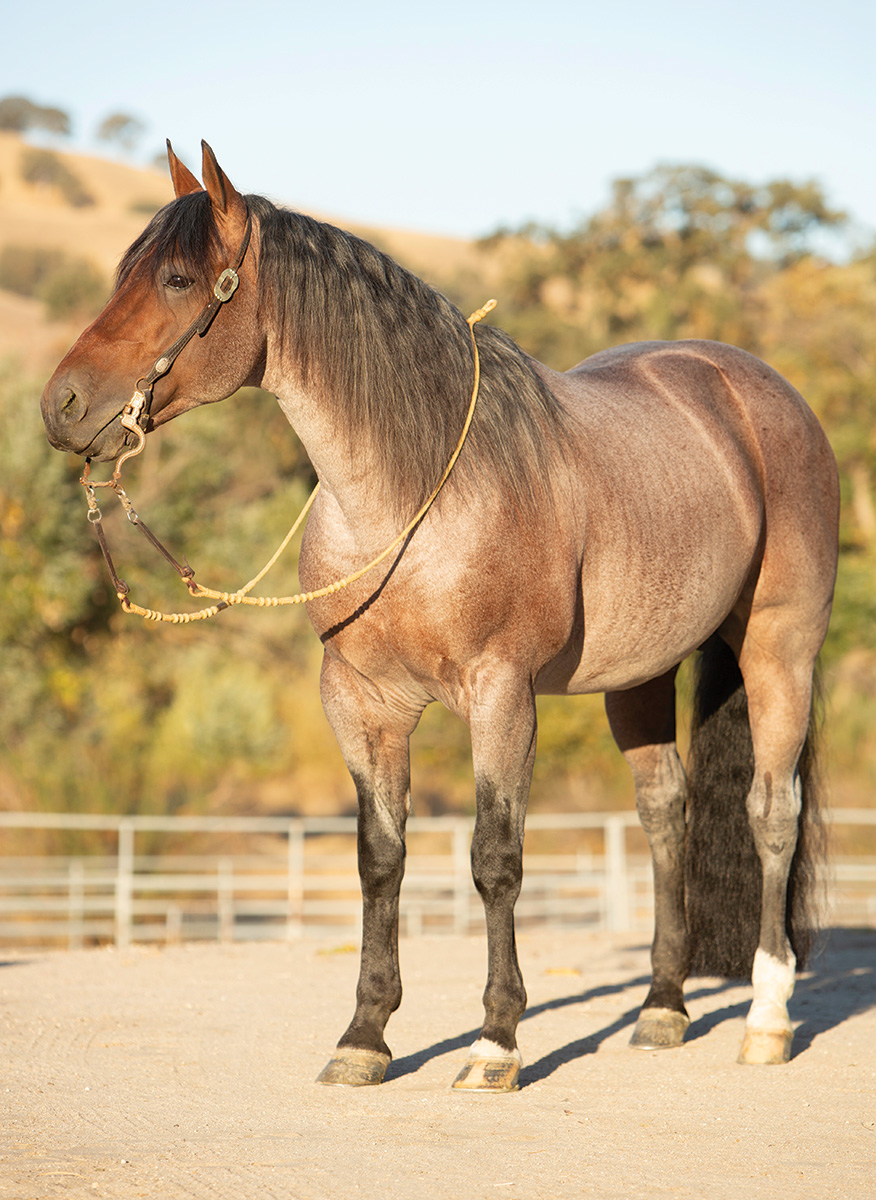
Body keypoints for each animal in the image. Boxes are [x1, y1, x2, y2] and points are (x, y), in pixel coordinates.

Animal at [42, 140, 840, 1089]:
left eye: (174, 279)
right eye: (124, 272)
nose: (61, 406)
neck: (411, 496)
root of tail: (752, 388)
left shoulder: (500, 695)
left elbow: (495, 859)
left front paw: (494, 1042)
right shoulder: (362, 703)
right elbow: (379, 859)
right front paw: (364, 1036)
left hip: (779, 650)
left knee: (771, 813)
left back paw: (766, 1019)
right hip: (639, 678)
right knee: (666, 814)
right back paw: (661, 1009)